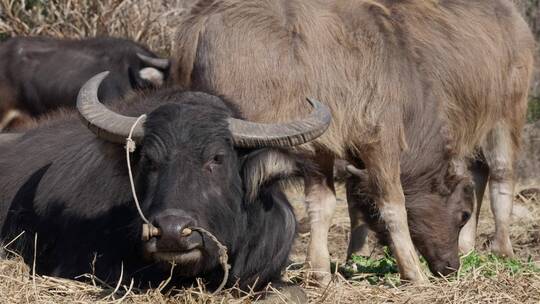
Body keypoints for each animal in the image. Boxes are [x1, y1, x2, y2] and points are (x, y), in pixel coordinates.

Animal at [172, 0, 532, 282]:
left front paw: (320, 270)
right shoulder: (381, 142)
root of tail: (198, 25)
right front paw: (413, 272)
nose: (450, 267)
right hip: (507, 115)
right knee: (501, 174)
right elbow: (393, 204)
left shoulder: (320, 151)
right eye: (462, 215)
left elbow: (325, 203)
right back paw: (502, 249)